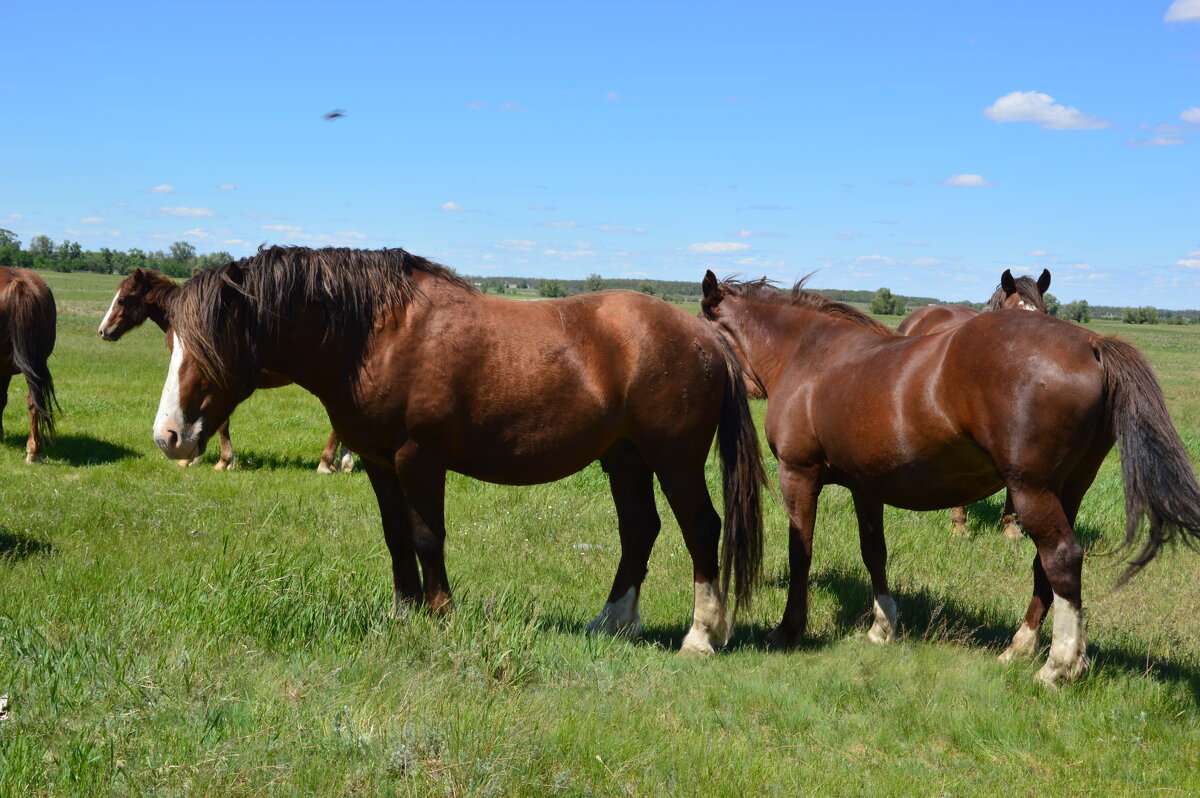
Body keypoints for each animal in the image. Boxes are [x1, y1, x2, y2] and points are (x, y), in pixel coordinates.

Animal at [100, 267, 350, 470]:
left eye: (122, 300)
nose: (103, 331)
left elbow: (220, 422)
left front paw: (221, 460)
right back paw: (344, 462)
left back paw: (327, 462)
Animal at [147, 247, 758, 652]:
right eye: (169, 339)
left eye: (208, 344)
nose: (168, 437)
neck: (377, 335)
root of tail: (705, 337)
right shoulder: (377, 461)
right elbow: (396, 536)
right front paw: (403, 613)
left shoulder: (419, 458)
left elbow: (426, 535)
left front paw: (440, 612)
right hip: (626, 460)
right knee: (639, 530)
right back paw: (612, 623)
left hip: (675, 462)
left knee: (700, 528)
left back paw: (702, 635)